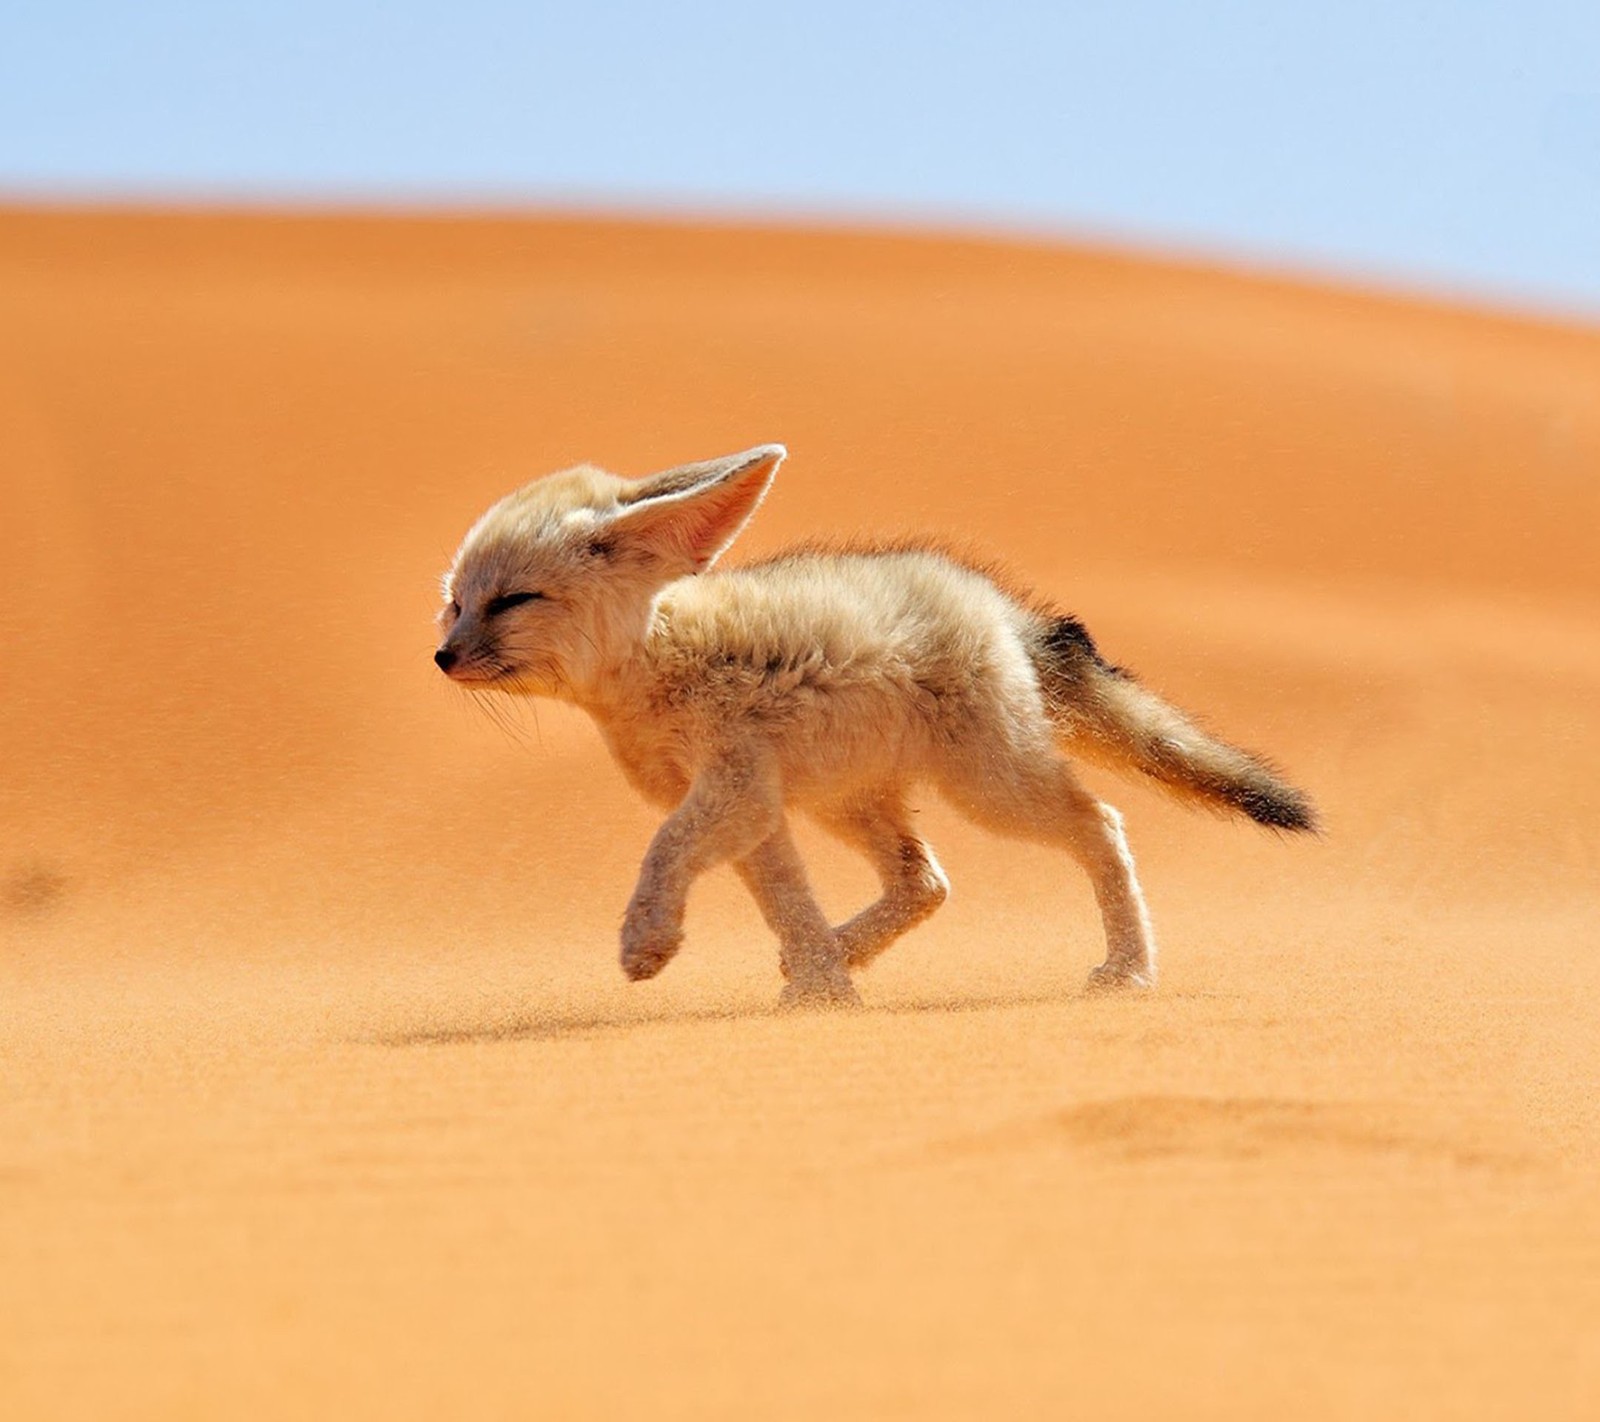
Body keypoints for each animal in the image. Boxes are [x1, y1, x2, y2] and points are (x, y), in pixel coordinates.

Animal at [438, 444, 1312, 1010]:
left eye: (512, 601)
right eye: (455, 603)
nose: (442, 656)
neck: (656, 659)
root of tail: (997, 604)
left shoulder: (734, 789)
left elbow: (664, 853)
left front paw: (647, 940)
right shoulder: (754, 808)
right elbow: (785, 900)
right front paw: (823, 987)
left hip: (990, 790)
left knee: (1100, 823)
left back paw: (1128, 969)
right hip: (848, 802)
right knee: (925, 880)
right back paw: (839, 954)